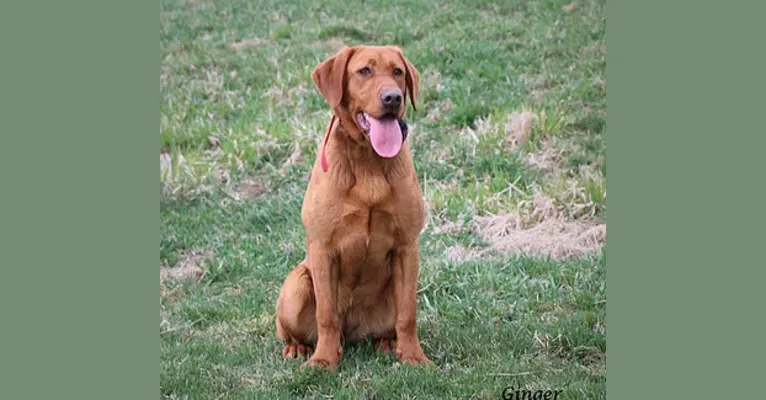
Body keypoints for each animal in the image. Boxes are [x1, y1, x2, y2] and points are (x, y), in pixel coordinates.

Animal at [276, 45, 436, 370]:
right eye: (364, 71)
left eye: (397, 72)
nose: (393, 98)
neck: (368, 160)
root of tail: (352, 333)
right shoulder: (322, 249)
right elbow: (326, 315)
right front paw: (323, 360)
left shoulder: (407, 248)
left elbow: (408, 314)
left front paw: (413, 355)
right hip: (295, 286)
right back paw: (299, 347)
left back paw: (388, 343)